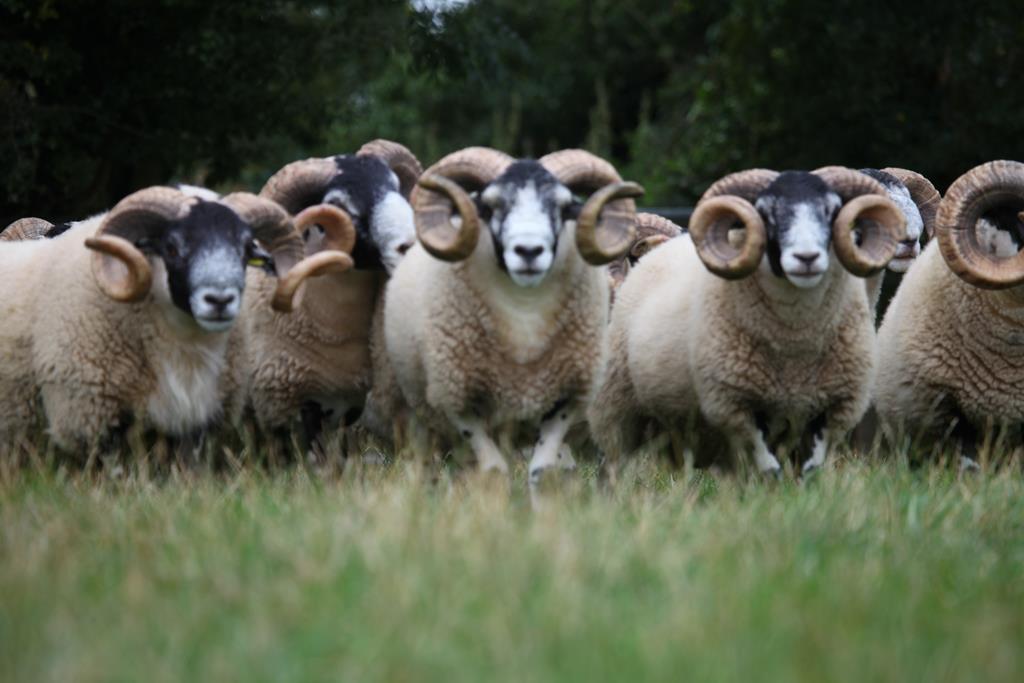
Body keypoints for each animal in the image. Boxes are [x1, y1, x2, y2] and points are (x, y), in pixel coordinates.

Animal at [383, 147, 642, 484]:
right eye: (491, 205)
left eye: (563, 206)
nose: (529, 251)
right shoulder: (460, 399)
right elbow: (493, 469)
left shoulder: (564, 399)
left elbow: (544, 470)